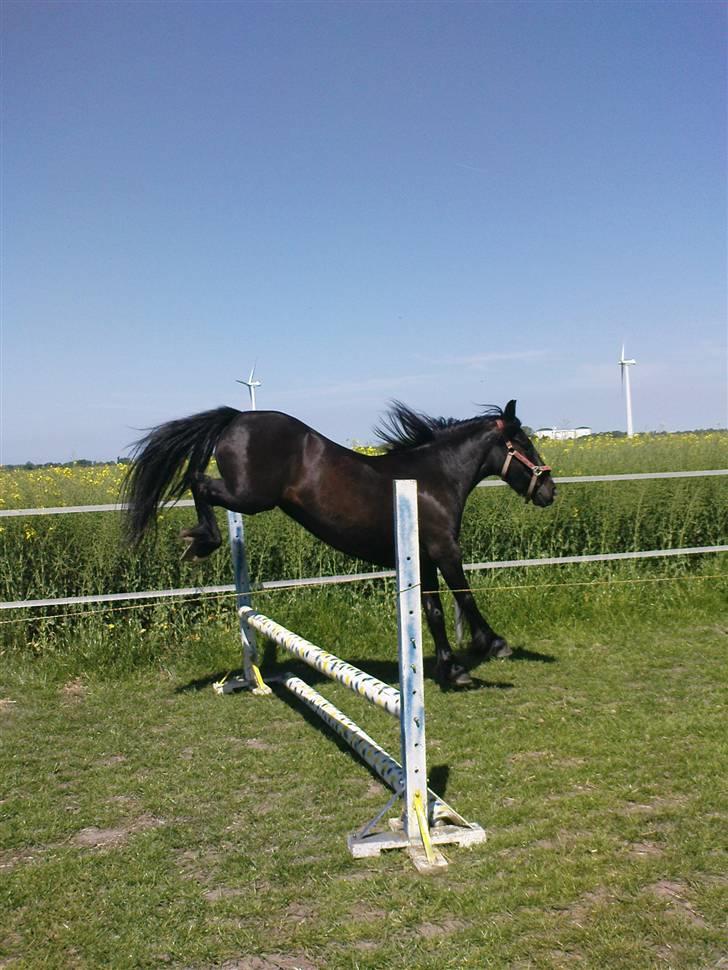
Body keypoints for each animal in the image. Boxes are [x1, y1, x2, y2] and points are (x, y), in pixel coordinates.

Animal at [122, 399, 555, 687]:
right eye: (525, 444)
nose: (549, 491)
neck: (432, 479)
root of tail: (239, 416)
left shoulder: (425, 557)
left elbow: (433, 612)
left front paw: (452, 669)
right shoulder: (446, 552)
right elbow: (465, 595)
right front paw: (493, 644)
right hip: (249, 496)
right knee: (198, 482)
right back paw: (201, 540)